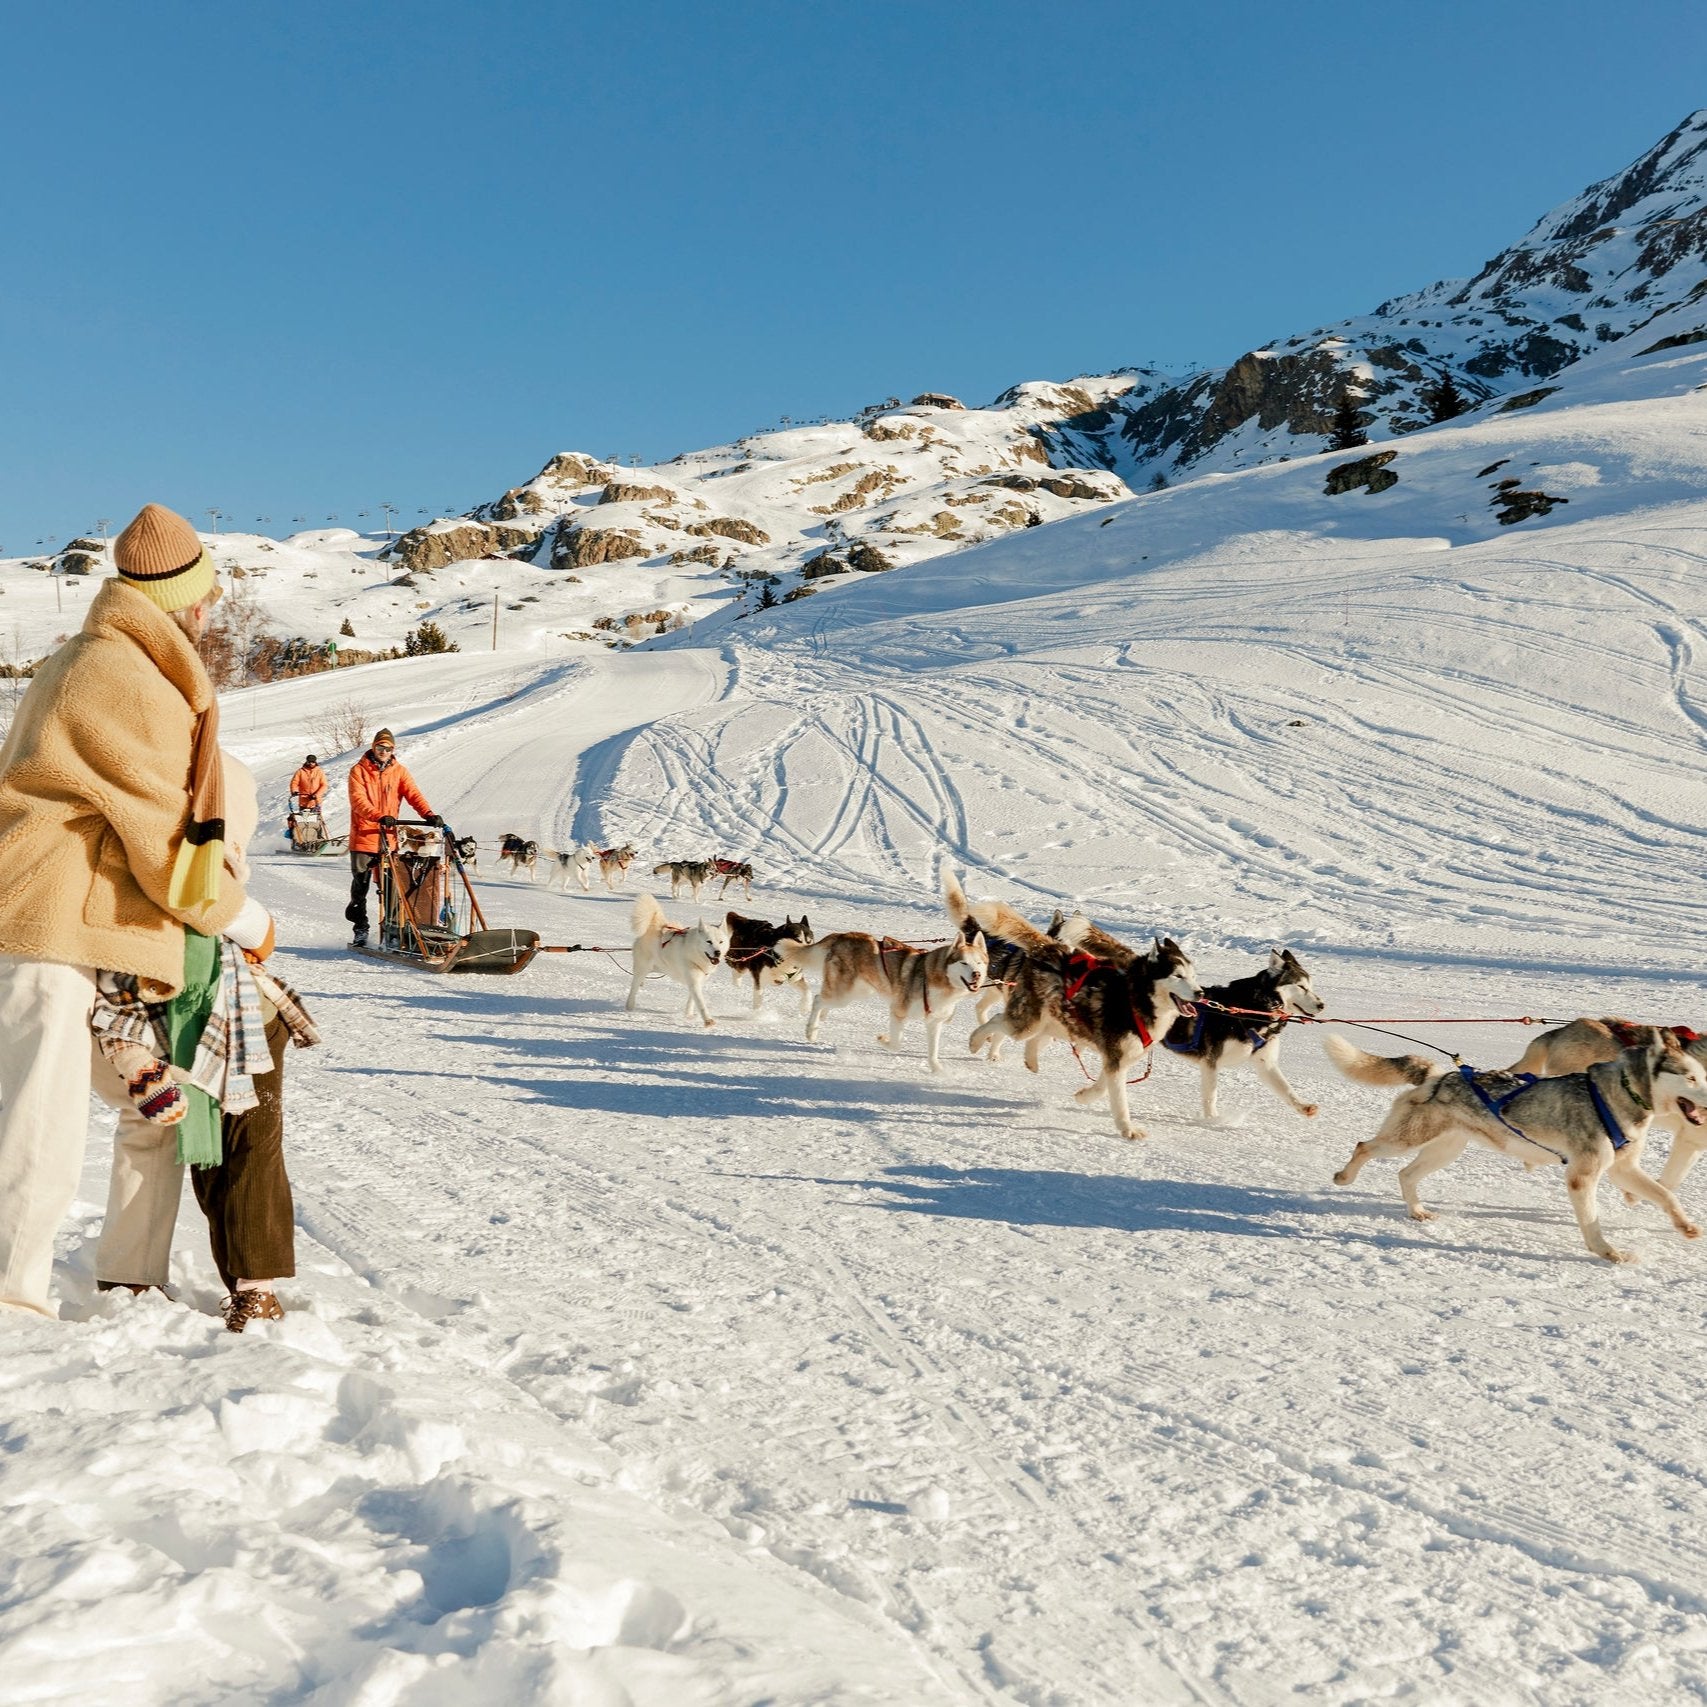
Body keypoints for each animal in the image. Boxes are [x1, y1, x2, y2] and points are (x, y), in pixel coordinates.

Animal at [628, 894, 734, 1024]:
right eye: (709, 941)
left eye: (721, 942)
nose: (717, 952)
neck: (694, 953)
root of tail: (654, 926)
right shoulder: (693, 980)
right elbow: (700, 1003)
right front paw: (708, 1020)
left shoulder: (698, 981)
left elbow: (692, 1000)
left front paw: (688, 1015)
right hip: (643, 968)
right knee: (634, 986)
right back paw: (629, 1005)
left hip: (660, 967)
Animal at [781, 928, 996, 1071]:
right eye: (964, 963)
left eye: (979, 962)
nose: (976, 974)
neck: (941, 983)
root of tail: (843, 935)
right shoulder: (898, 1012)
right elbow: (896, 1043)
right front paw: (883, 1040)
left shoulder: (934, 1022)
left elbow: (933, 1051)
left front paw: (937, 1070)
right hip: (844, 994)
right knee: (818, 999)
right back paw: (811, 1031)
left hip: (857, 993)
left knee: (824, 1002)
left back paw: (820, 1021)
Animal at [1167, 949, 1324, 1119]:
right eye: (1301, 986)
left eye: (1311, 986)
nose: (1321, 1005)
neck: (1254, 1009)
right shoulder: (1210, 1061)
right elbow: (1211, 1096)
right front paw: (1213, 1119)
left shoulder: (1266, 1062)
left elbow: (1286, 1088)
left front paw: (1304, 1106)